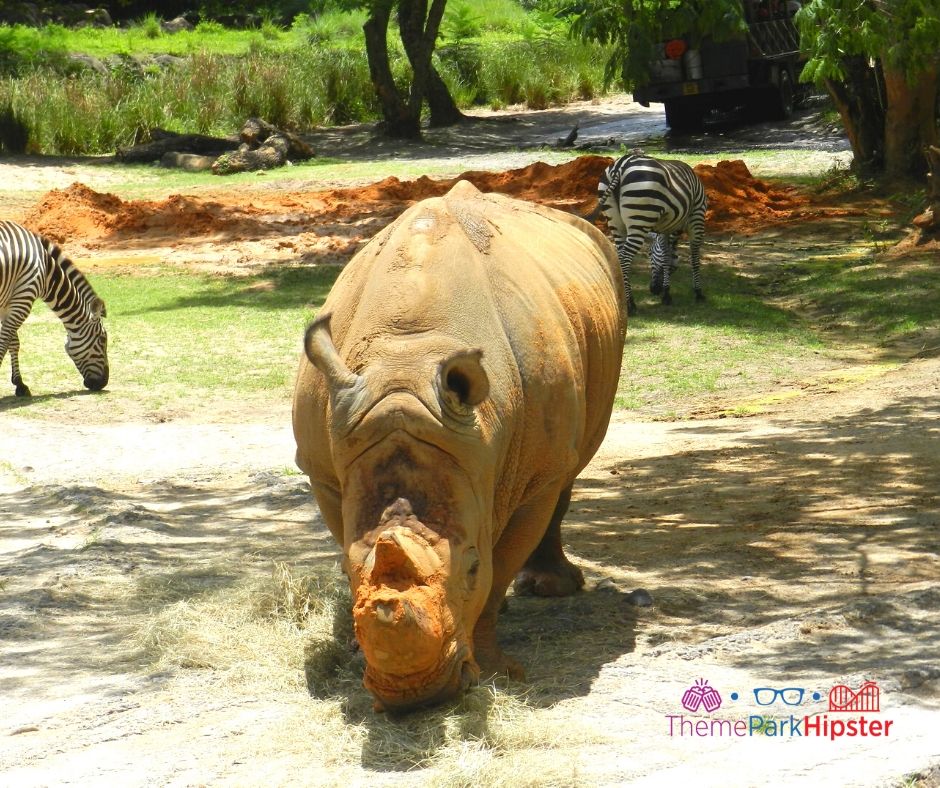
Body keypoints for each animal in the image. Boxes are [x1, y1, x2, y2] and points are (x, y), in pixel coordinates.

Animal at [1, 220, 108, 394]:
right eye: (102, 339)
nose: (103, 383)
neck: (47, 271)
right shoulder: (23, 299)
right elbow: (5, 342)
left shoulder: (8, 303)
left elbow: (13, 342)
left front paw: (19, 384)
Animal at [596, 152, 704, 316]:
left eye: (649, 254)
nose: (654, 290)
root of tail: (621, 164)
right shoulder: (696, 217)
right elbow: (694, 258)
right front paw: (698, 292)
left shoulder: (666, 228)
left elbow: (666, 256)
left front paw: (666, 294)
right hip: (640, 217)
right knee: (625, 258)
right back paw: (630, 305)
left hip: (615, 221)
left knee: (618, 254)